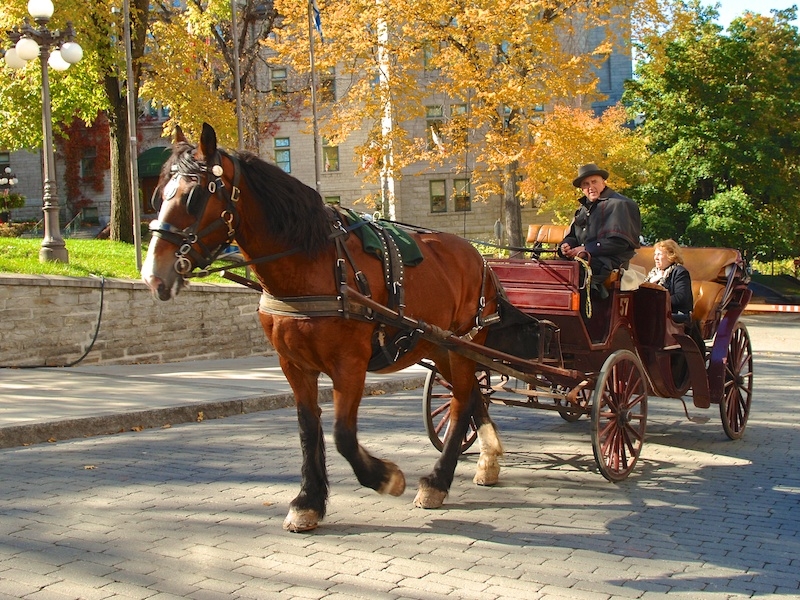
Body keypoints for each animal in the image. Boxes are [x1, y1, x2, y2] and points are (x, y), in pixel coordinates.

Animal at [141, 122, 504, 528]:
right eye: (157, 195)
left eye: (193, 196)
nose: (153, 275)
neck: (311, 262)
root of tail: (478, 256)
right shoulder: (294, 364)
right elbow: (308, 428)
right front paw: (308, 501)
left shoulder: (350, 364)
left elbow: (342, 434)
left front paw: (385, 477)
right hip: (441, 346)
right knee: (471, 395)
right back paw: (487, 458)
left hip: (464, 342)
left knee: (459, 404)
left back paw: (438, 481)